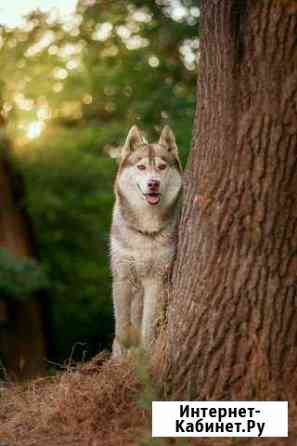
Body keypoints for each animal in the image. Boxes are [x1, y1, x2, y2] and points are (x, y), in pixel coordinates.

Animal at [109, 124, 182, 356]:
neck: (145, 228)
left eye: (161, 167)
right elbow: (122, 325)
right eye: (141, 167)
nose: (153, 183)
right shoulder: (122, 276)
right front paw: (121, 356)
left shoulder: (156, 280)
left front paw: (145, 353)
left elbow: (148, 326)